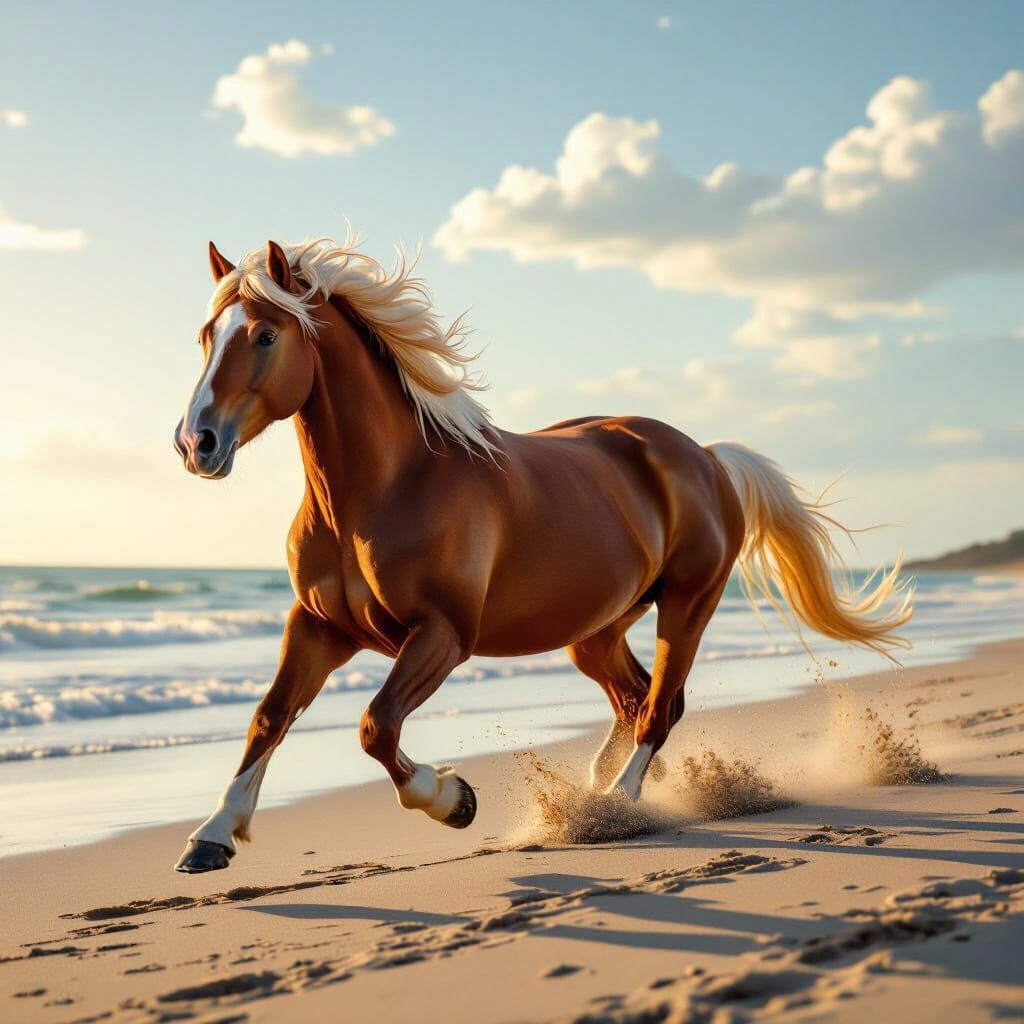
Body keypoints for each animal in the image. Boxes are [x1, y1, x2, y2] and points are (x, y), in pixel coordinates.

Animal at [172, 235, 912, 873]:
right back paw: (598, 788)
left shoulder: (442, 634)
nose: (196, 443)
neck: (387, 485)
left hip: (687, 605)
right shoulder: (319, 627)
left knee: (658, 708)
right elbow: (268, 717)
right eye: (208, 336)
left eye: (266, 335)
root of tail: (705, 456)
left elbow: (375, 726)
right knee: (637, 699)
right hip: (595, 632)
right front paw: (212, 837)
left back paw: (615, 805)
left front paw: (454, 800)